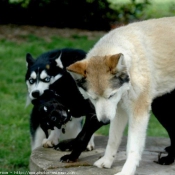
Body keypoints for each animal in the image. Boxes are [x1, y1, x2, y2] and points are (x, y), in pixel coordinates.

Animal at [66, 16, 175, 175]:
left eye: (111, 95)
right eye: (93, 98)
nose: (104, 121)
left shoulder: (138, 113)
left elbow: (132, 148)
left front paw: (127, 171)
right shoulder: (118, 112)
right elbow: (113, 140)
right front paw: (106, 162)